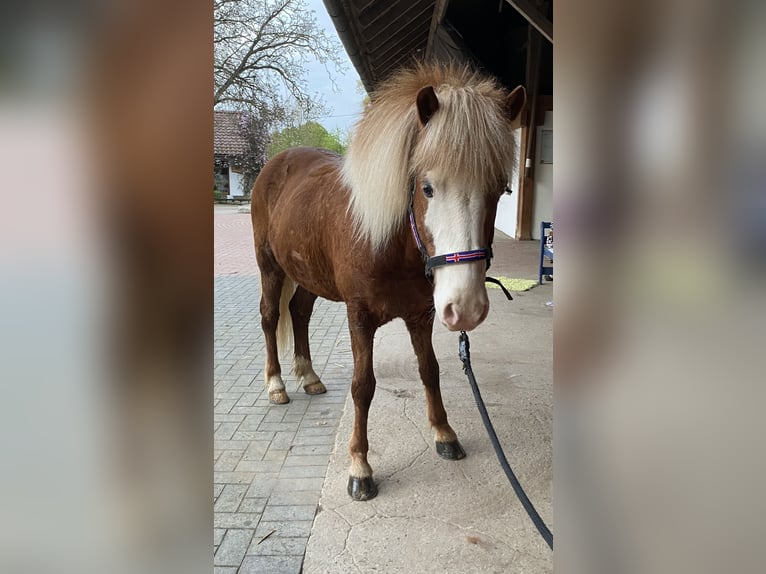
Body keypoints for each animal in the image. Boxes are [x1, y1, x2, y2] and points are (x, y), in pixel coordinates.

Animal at [251, 63, 525, 500]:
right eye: (427, 187)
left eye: (500, 189)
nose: (466, 307)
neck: (391, 245)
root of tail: (276, 164)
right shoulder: (359, 318)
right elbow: (363, 386)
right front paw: (360, 467)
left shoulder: (421, 315)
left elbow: (429, 369)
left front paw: (444, 433)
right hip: (271, 267)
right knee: (269, 316)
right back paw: (277, 385)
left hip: (306, 274)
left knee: (298, 313)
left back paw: (309, 376)